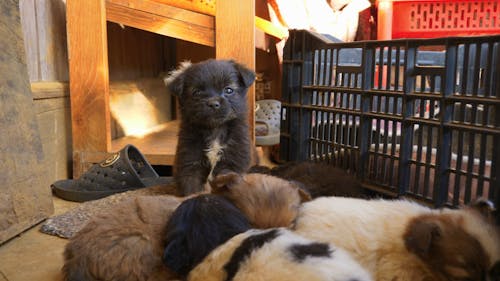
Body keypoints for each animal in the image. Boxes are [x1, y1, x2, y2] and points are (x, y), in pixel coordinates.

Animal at [165, 59, 256, 195]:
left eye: (229, 90)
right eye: (197, 92)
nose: (213, 103)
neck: (215, 130)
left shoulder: (232, 161)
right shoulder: (189, 162)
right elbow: (192, 188)